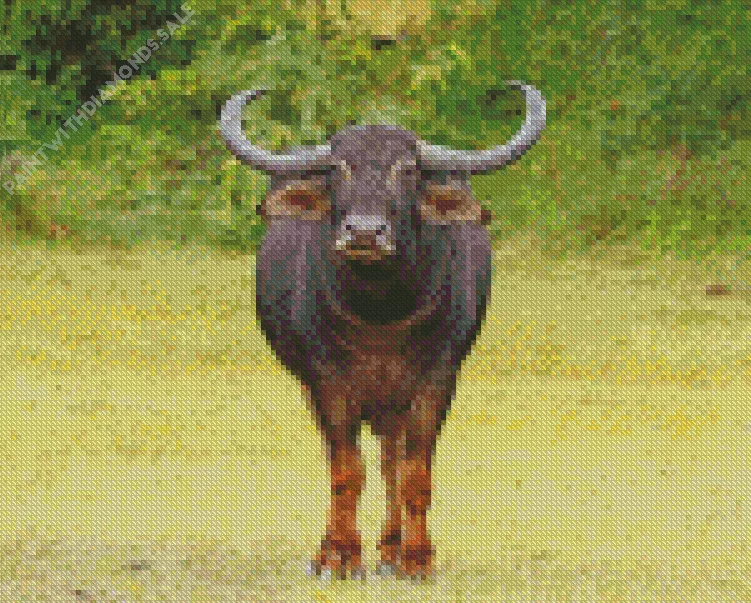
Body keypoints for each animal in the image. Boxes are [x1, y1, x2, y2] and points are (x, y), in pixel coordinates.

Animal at [220, 82, 546, 579]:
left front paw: (417, 558)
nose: (364, 233)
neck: (381, 316)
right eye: (337, 168)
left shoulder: (437, 382)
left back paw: (392, 549)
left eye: (407, 170)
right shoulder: (327, 384)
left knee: (392, 459)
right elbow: (345, 471)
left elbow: (413, 474)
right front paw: (338, 555)